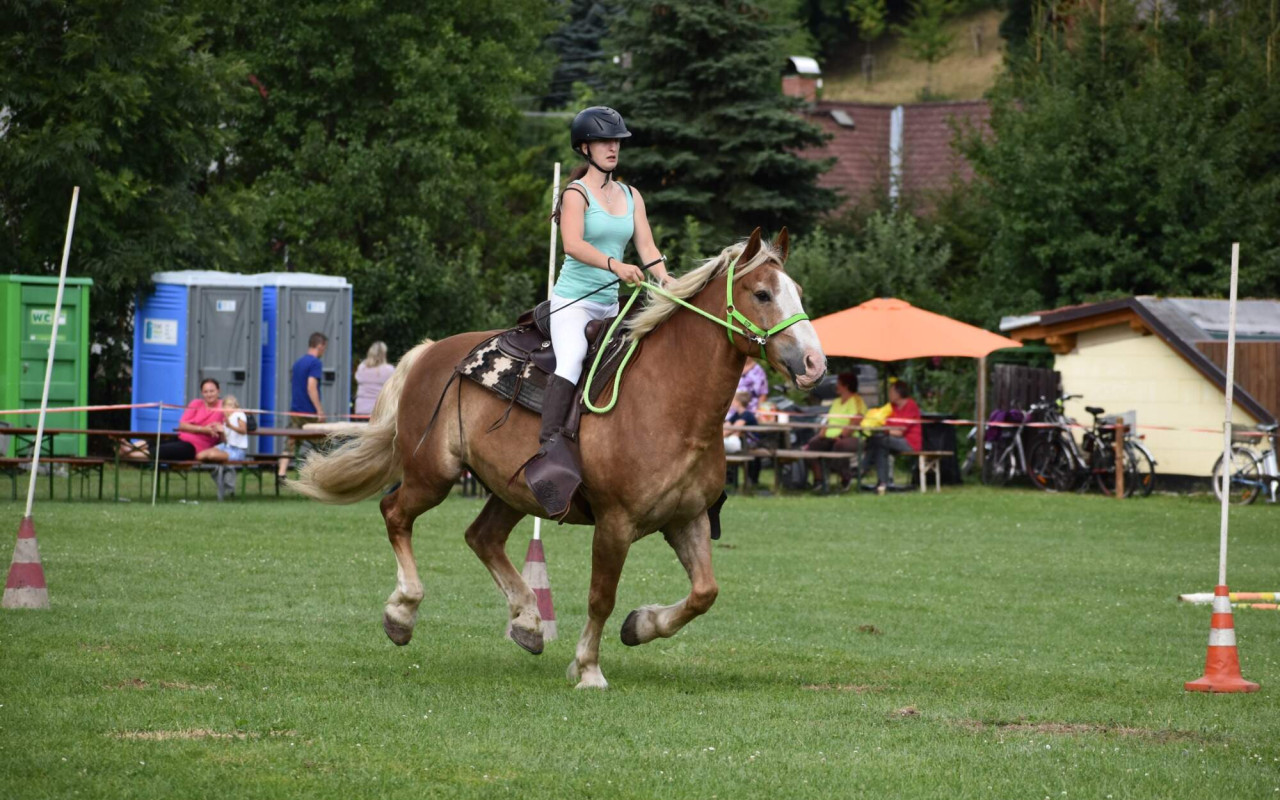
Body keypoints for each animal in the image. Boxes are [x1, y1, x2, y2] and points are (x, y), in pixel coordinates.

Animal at [293, 229, 824, 686]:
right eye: (762, 293)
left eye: (798, 290)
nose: (815, 364)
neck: (669, 401)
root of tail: (428, 352)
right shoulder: (615, 523)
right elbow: (600, 597)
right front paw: (588, 669)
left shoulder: (686, 518)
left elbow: (703, 594)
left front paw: (640, 625)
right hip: (433, 474)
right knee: (395, 513)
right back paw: (402, 611)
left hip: (513, 489)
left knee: (482, 536)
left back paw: (528, 621)